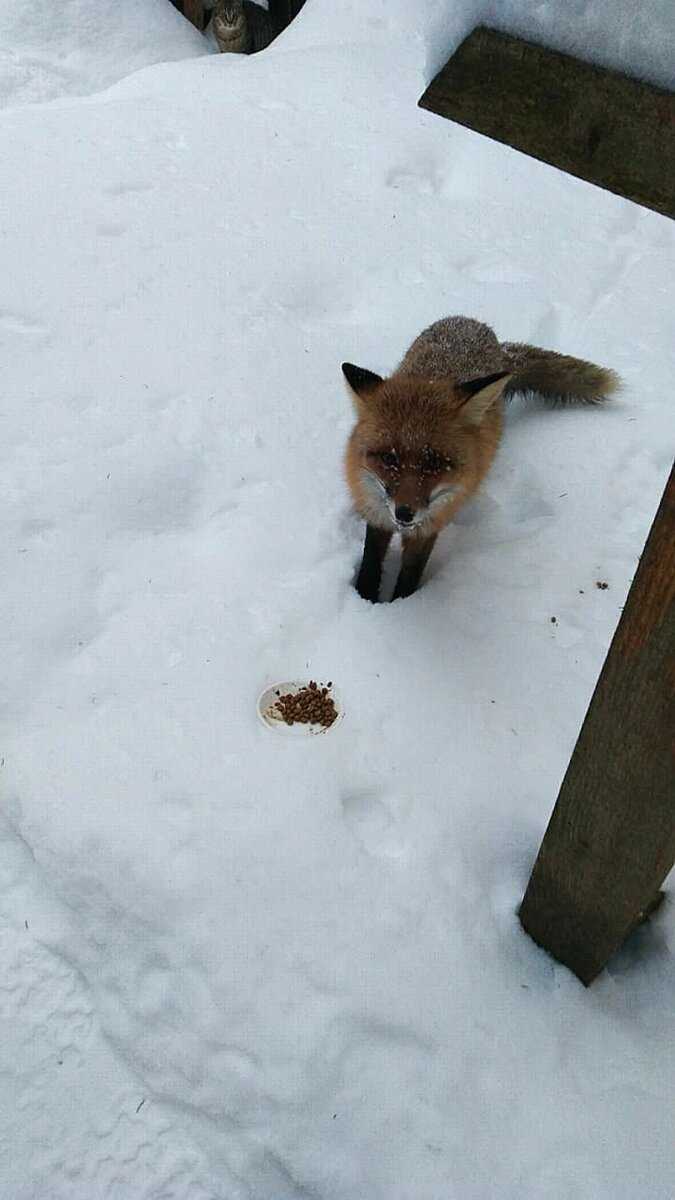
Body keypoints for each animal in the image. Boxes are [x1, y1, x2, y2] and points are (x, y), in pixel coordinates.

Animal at [341, 316, 614, 604]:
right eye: (389, 458)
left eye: (434, 463)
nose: (405, 513)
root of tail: (472, 323)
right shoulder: (376, 510)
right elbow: (371, 562)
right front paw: (365, 598)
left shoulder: (431, 524)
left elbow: (411, 572)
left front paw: (402, 603)